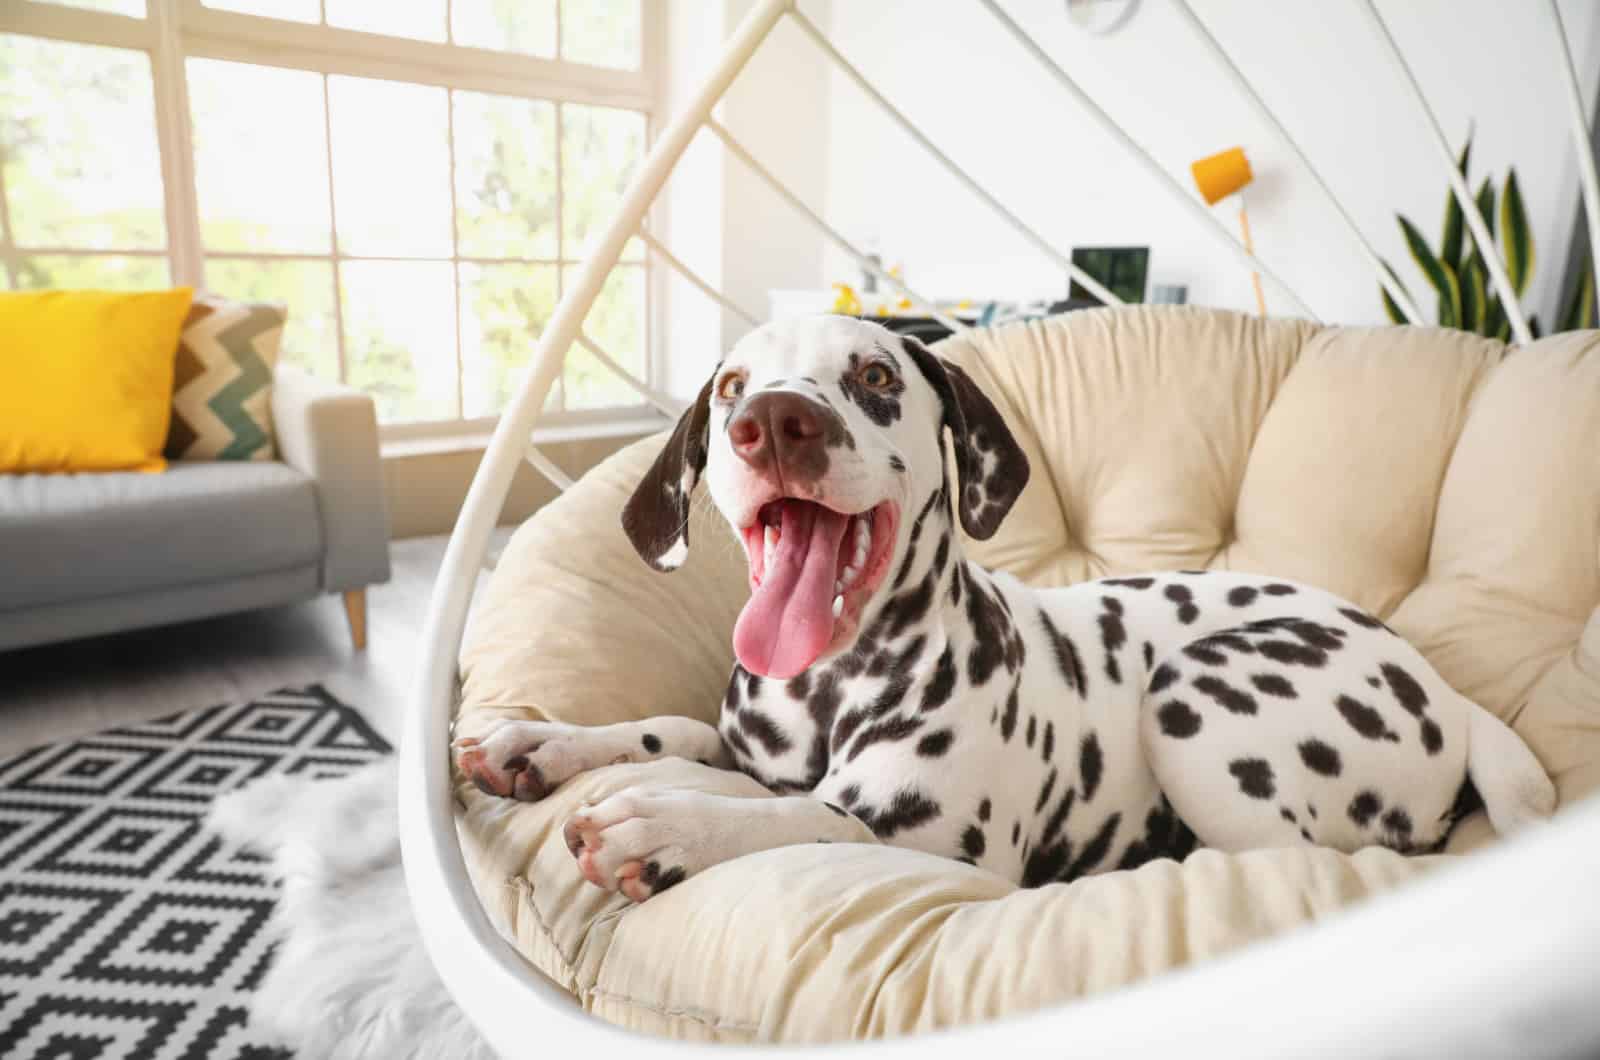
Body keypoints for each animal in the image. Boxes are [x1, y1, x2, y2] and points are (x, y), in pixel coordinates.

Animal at [457, 315, 1555, 903]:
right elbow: (674, 732)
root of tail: (1445, 693)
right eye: (732, 383)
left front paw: (670, 824)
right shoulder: (746, 744)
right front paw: (542, 743)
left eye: (873, 374)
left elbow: (801, 819)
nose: (773, 420)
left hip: (1194, 696)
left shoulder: (942, 847)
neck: (826, 687)